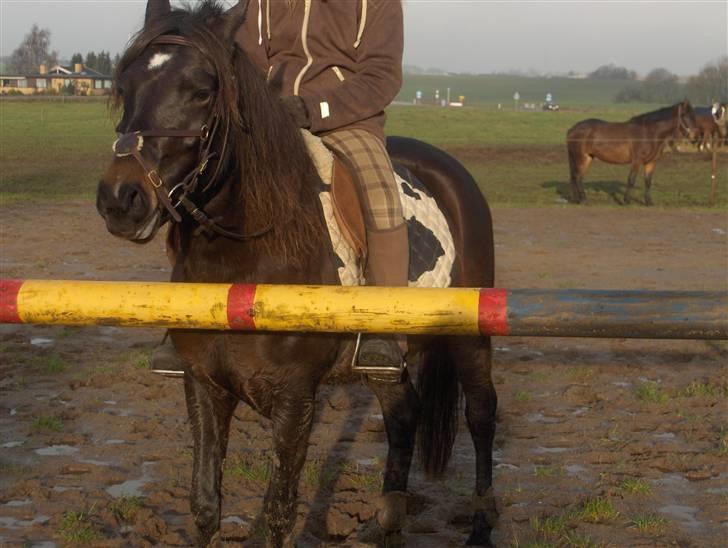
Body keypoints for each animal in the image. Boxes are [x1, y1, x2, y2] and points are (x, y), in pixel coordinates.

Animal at [94, 2, 498, 544]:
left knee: (481, 414)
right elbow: (205, 504)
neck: (247, 255)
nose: (122, 199)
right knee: (403, 413)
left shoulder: (294, 397)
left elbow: (279, 513)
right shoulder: (203, 385)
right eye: (126, 85)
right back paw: (386, 522)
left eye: (202, 91)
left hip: (470, 336)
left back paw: (479, 526)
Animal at [564, 100, 696, 206]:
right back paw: (584, 200)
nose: (694, 137)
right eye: (684, 116)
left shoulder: (651, 163)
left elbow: (648, 182)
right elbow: (631, 180)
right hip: (581, 157)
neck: (649, 133)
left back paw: (577, 199)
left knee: (577, 177)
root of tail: (572, 129)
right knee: (578, 177)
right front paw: (626, 201)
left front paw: (649, 202)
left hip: (588, 157)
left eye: (694, 116)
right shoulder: (637, 161)